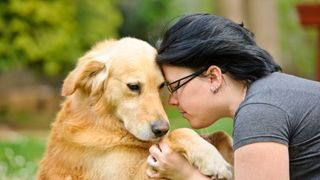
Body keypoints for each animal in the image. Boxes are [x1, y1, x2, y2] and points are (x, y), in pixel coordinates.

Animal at [37, 37, 232, 179]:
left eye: (161, 86)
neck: (105, 122)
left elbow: (222, 134)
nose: (161, 130)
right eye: (133, 86)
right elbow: (180, 132)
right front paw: (213, 160)